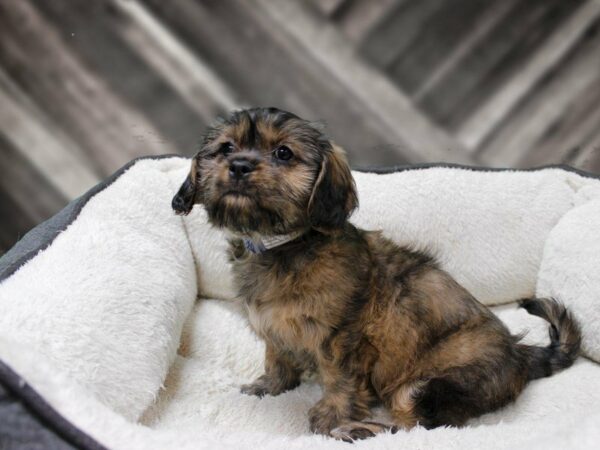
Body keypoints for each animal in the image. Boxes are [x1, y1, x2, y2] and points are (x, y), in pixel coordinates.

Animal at [172, 107, 580, 442]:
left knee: (417, 426)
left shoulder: (342, 340)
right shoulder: (275, 326)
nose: (239, 165)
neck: (282, 244)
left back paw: (361, 430)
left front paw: (330, 418)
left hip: (429, 386)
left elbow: (340, 381)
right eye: (226, 148)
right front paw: (269, 386)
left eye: (283, 153)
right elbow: (277, 356)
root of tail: (520, 355)